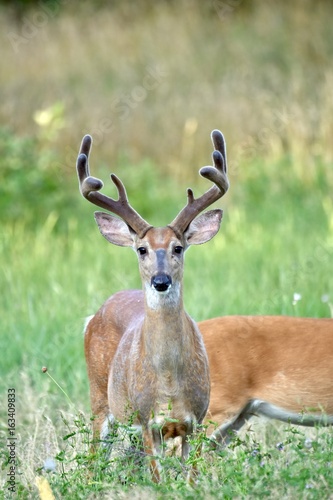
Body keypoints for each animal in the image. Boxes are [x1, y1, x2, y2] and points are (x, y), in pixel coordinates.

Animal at [77, 129, 230, 480]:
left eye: (178, 247)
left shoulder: (196, 418)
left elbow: (191, 476)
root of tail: (94, 316)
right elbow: (159, 478)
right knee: (93, 458)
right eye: (142, 249)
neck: (169, 382)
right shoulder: (147, 420)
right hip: (101, 399)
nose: (161, 280)